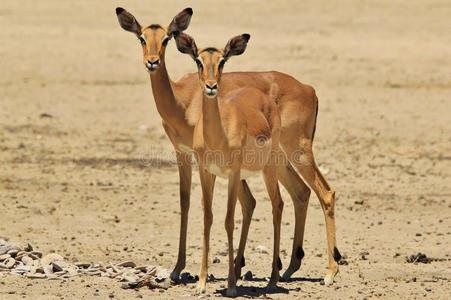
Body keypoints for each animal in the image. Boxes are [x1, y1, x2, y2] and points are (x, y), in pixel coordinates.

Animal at [115, 7, 340, 286]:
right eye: (141, 38)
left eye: (166, 38)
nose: (152, 61)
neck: (183, 101)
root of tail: (309, 89)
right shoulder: (184, 154)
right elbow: (186, 202)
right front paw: (179, 268)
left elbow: (215, 205)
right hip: (277, 159)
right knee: (300, 193)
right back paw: (288, 269)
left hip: (298, 151)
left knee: (325, 193)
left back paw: (329, 272)